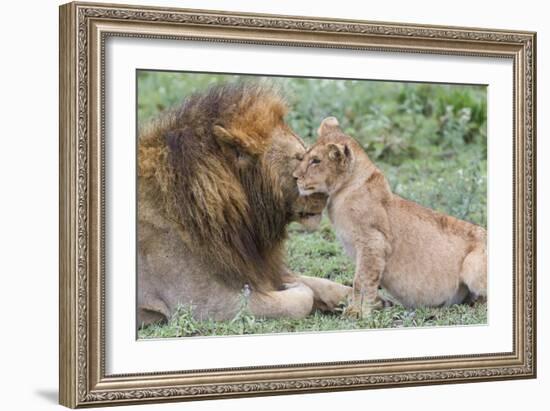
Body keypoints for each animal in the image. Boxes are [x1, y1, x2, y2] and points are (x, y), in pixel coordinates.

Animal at [140, 83, 352, 328]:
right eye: (299, 159)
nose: (327, 194)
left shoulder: (254, 268)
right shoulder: (203, 304)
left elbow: (322, 284)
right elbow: (300, 300)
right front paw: (293, 287)